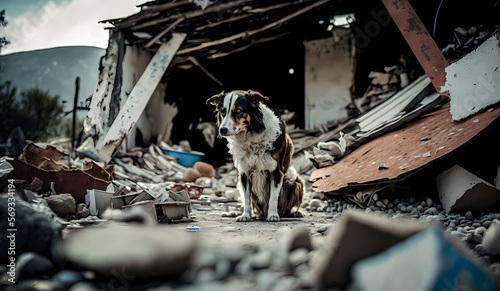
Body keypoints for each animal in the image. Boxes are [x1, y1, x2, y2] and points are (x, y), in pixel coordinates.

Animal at [204, 90, 304, 222]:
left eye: (239, 111)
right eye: (222, 111)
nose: (222, 130)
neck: (251, 135)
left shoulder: (276, 171)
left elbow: (273, 198)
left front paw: (273, 215)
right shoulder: (244, 173)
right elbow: (247, 199)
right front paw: (245, 215)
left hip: (294, 180)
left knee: (288, 207)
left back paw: (293, 213)